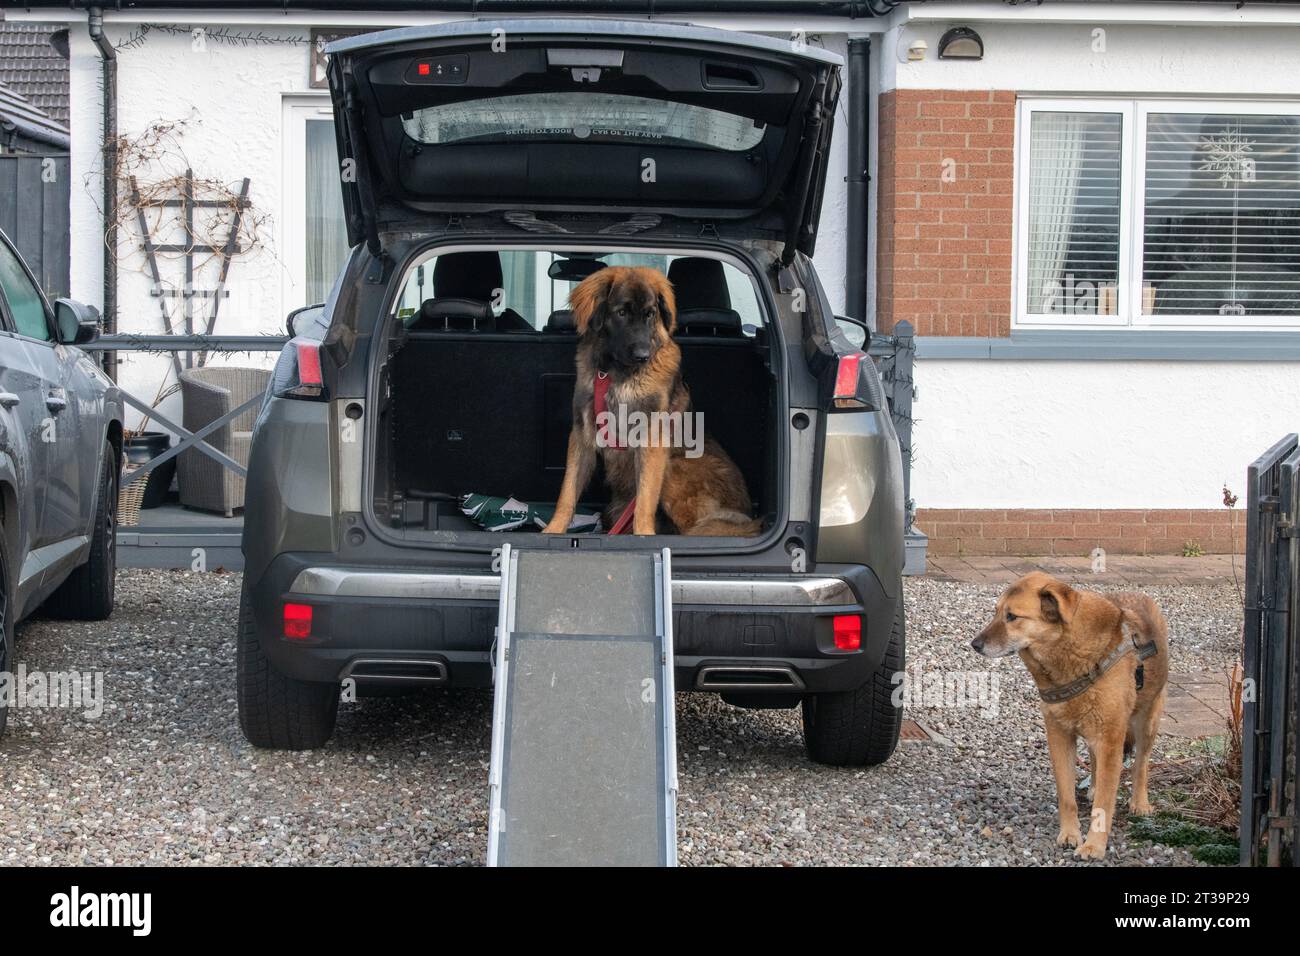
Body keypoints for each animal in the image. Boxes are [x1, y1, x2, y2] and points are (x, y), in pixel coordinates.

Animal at [540, 265, 759, 538]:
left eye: (650, 314)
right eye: (622, 313)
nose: (643, 356)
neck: (615, 374)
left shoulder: (651, 439)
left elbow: (644, 501)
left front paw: (643, 535)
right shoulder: (582, 434)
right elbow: (567, 492)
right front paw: (554, 529)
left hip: (675, 467)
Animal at [972, 574, 1175, 858]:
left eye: (1012, 616)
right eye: (996, 612)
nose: (975, 644)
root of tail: (1138, 594)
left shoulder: (1110, 738)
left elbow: (1104, 803)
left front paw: (1094, 845)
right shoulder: (1059, 736)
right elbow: (1066, 795)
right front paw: (1070, 834)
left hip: (1147, 721)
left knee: (1141, 764)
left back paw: (1139, 802)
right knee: (1096, 761)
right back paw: (1094, 786)